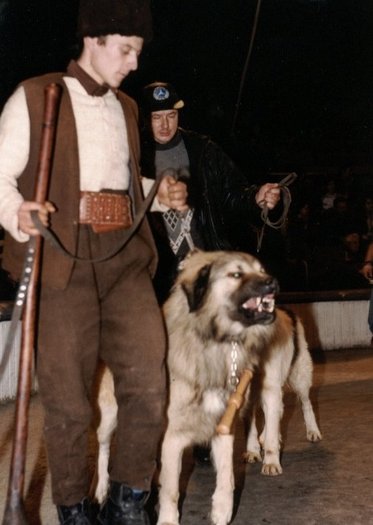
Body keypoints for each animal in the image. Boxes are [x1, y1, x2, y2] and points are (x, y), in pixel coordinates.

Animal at [94, 250, 322, 524]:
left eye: (261, 270)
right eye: (236, 274)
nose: (272, 282)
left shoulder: (244, 406)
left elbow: (228, 474)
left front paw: (267, 462)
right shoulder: (177, 432)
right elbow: (171, 487)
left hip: (294, 378)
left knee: (302, 403)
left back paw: (306, 432)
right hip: (110, 419)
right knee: (104, 446)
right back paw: (102, 489)